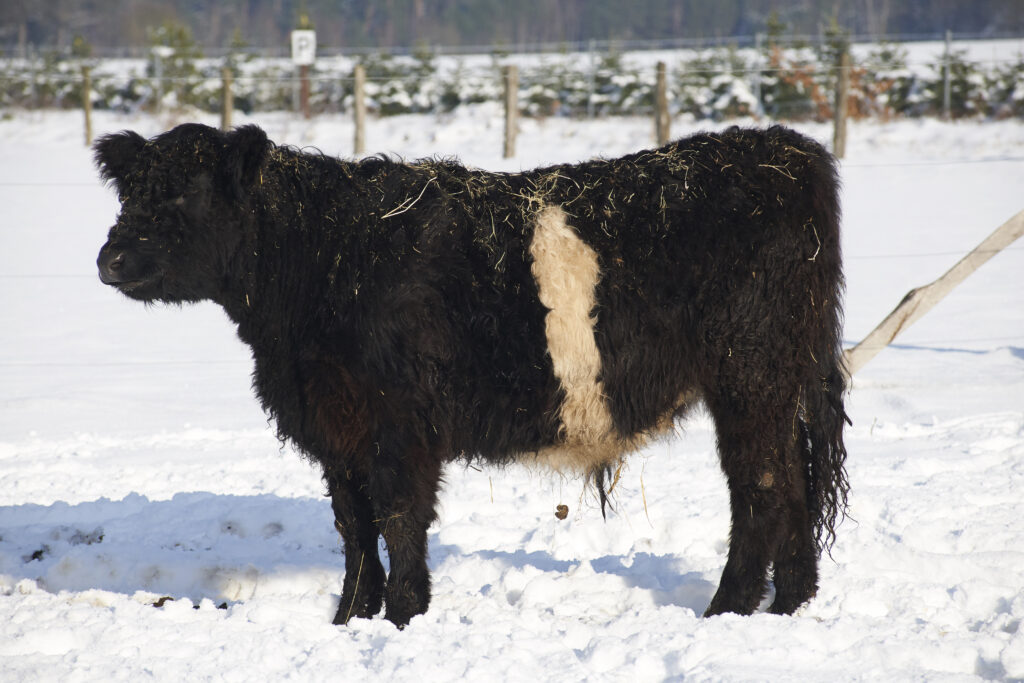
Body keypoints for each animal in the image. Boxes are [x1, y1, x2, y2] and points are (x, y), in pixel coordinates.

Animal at [96, 121, 847, 626]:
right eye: (131, 193)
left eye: (186, 194)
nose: (109, 259)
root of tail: (784, 149)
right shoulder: (337, 430)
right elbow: (354, 529)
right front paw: (349, 620)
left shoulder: (399, 425)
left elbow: (399, 520)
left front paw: (403, 616)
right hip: (776, 384)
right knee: (795, 483)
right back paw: (789, 603)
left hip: (749, 377)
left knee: (763, 489)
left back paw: (726, 610)